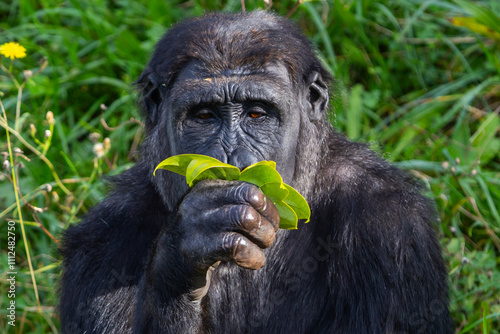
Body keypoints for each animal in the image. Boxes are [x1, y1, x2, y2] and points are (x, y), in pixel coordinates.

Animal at [59, 10, 454, 334]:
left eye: (256, 113)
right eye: (204, 115)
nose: (233, 158)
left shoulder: (392, 228)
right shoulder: (102, 241)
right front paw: (186, 248)